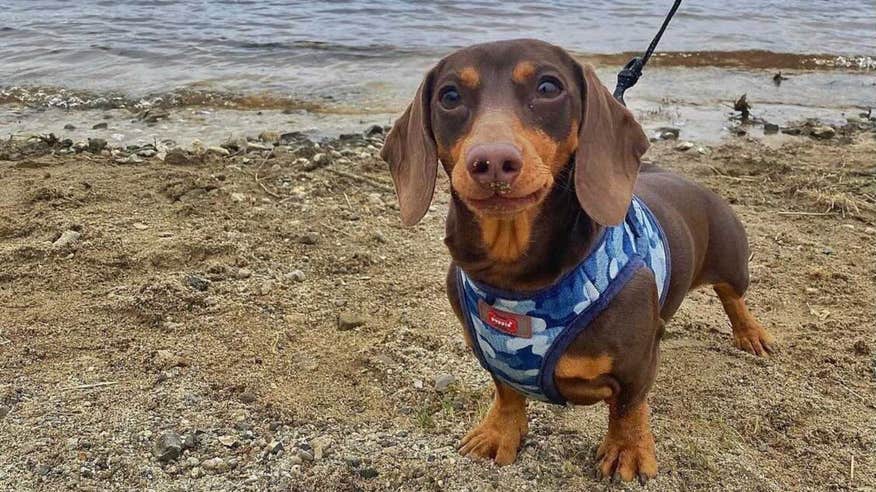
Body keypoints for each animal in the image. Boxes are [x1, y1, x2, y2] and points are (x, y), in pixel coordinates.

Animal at [380, 39, 776, 484]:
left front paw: (627, 450)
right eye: (449, 96)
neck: (516, 277)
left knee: (733, 297)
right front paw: (499, 432)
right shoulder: (494, 356)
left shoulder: (637, 363)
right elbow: (507, 391)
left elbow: (629, 407)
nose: (492, 162)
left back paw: (750, 334)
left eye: (548, 87)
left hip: (733, 261)